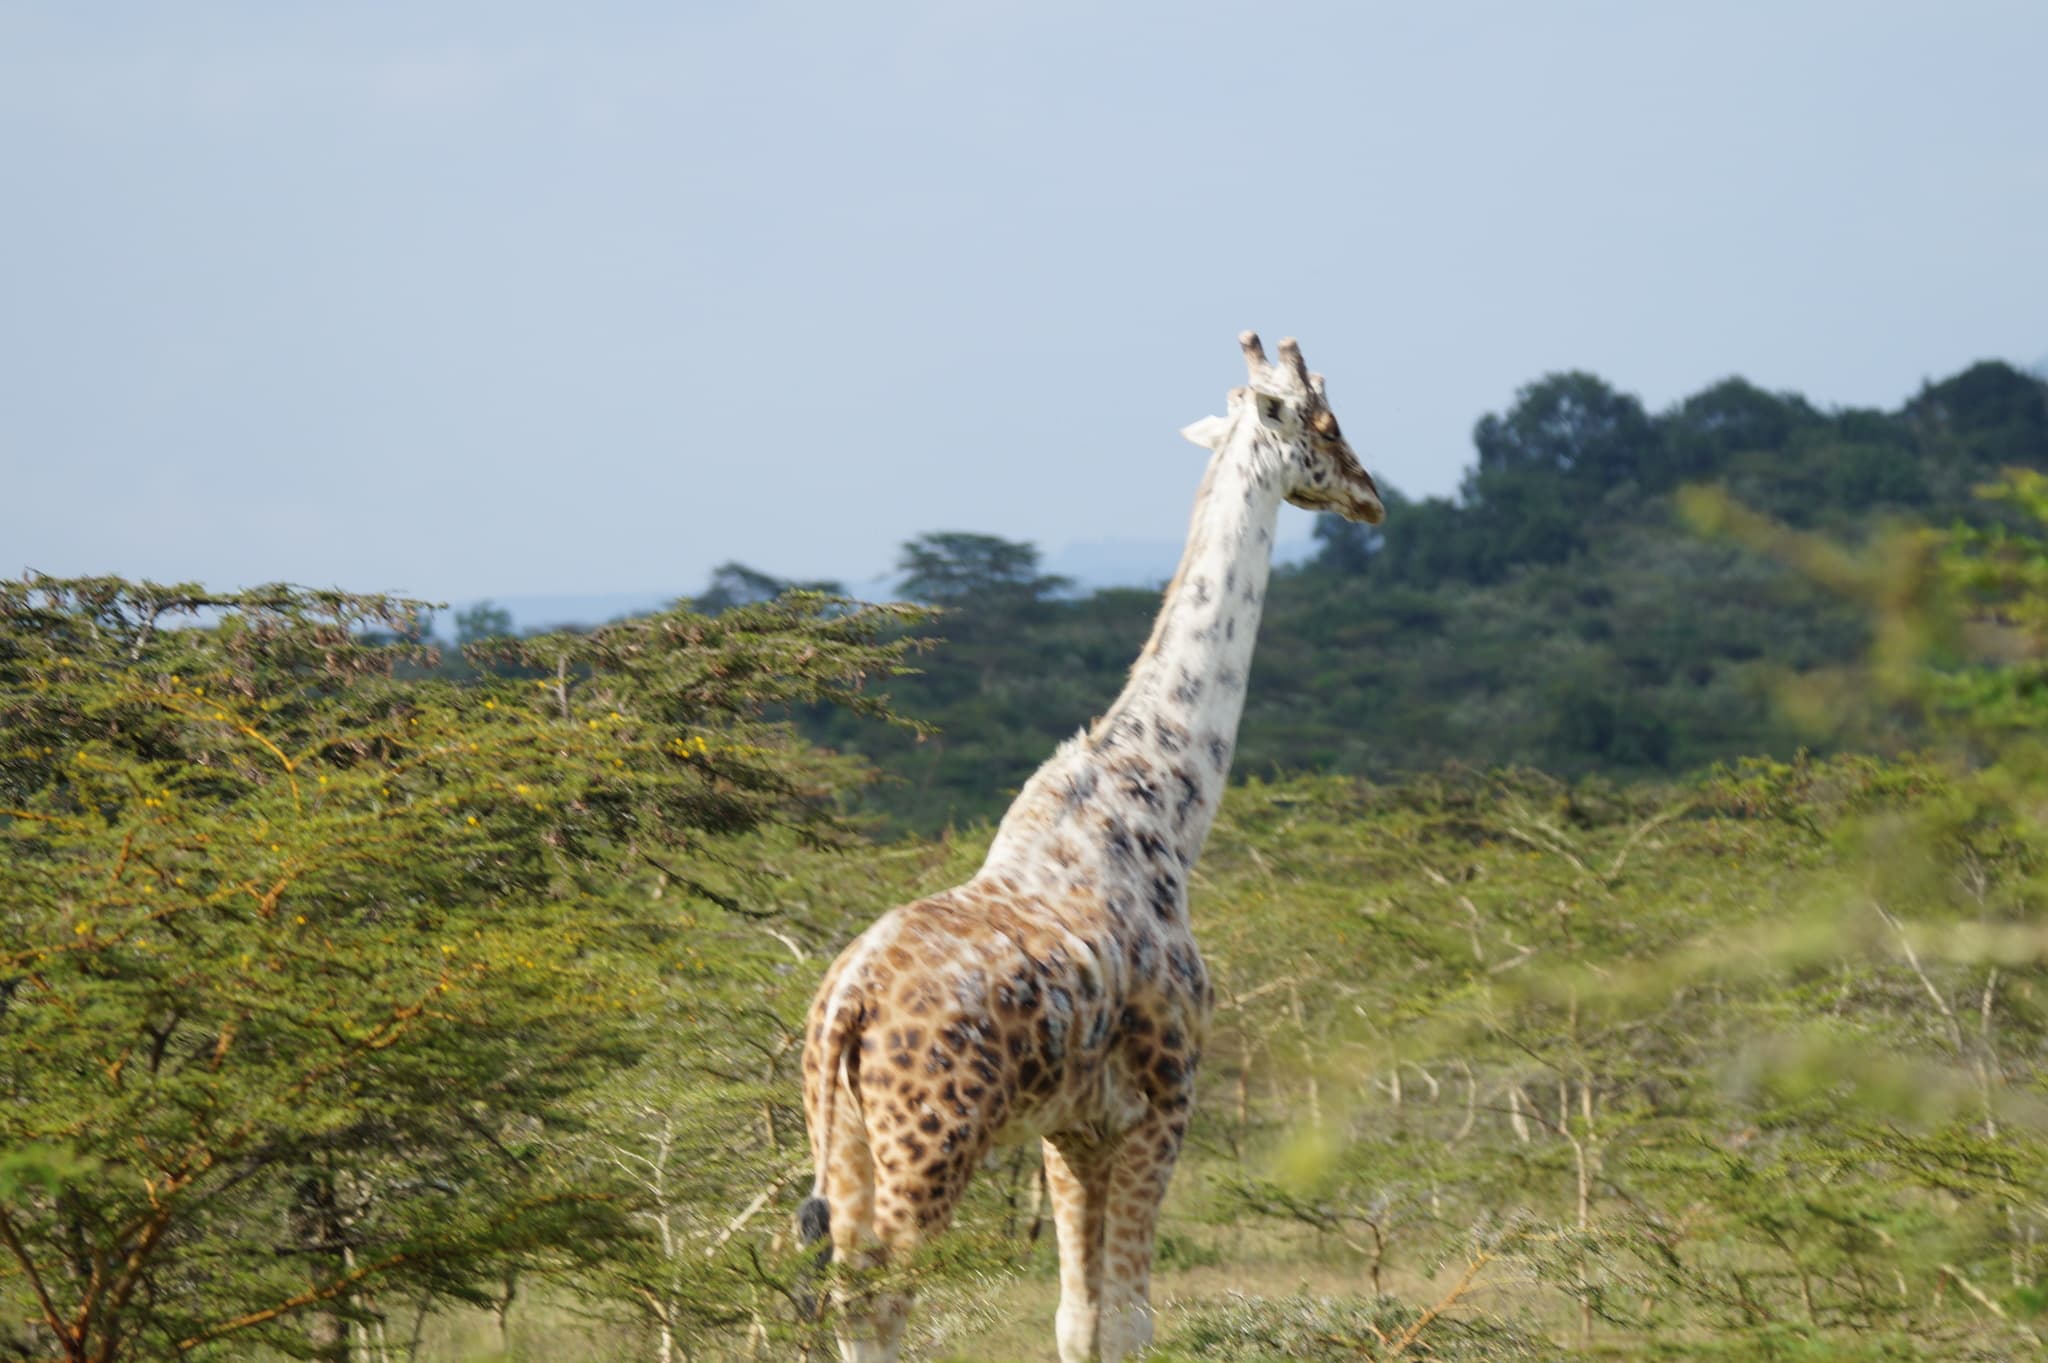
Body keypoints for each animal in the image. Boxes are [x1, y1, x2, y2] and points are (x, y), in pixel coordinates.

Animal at [798, 332, 1385, 1363]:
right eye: (1327, 421)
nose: (1372, 495)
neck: (1165, 813)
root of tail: (847, 1002)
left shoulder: (1071, 1129)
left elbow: (1077, 1318)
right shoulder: (1164, 1103)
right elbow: (1134, 1317)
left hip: (839, 1141)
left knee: (850, 1297)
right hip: (931, 1143)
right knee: (882, 1303)